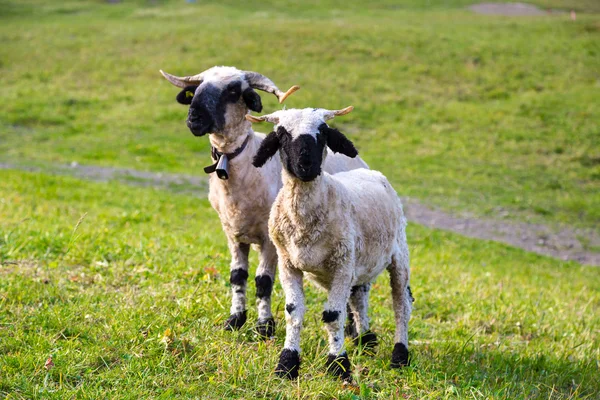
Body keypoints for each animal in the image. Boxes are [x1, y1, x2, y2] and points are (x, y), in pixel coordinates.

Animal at [159, 66, 366, 338]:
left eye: (233, 90)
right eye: (198, 87)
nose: (194, 118)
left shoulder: (270, 239)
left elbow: (263, 281)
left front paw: (264, 326)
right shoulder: (232, 233)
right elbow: (237, 276)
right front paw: (235, 319)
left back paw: (353, 330)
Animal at [248, 104, 412, 380]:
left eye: (323, 132)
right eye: (281, 135)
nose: (306, 165)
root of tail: (371, 171)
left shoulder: (341, 266)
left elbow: (333, 316)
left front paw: (338, 365)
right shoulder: (288, 263)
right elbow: (293, 311)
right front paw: (287, 363)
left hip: (398, 254)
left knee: (401, 304)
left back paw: (400, 355)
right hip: (357, 262)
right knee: (359, 297)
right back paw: (365, 339)